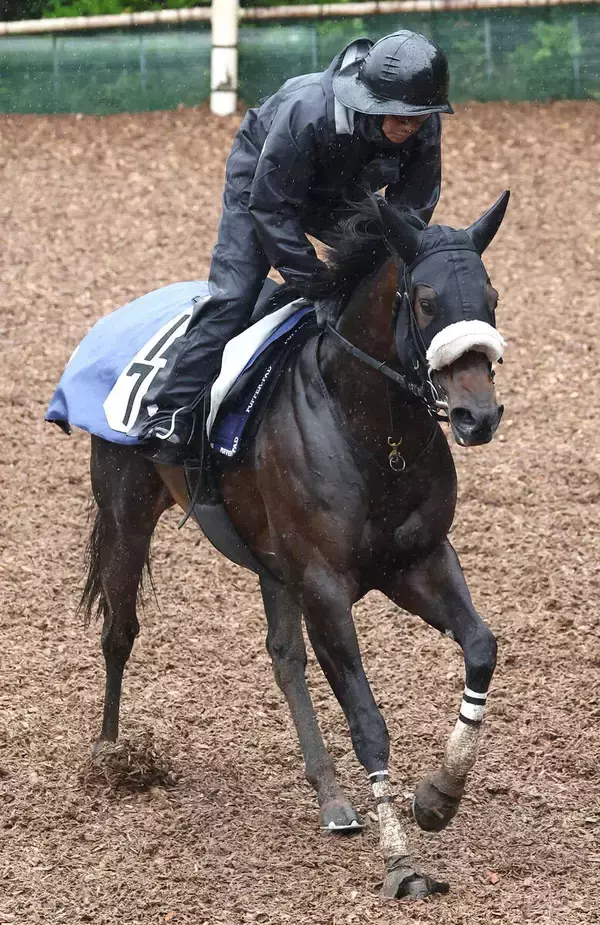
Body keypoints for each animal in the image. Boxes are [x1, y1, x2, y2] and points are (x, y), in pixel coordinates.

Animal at [79, 191, 509, 900]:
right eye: (424, 301)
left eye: (491, 297)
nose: (478, 416)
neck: (369, 430)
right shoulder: (324, 585)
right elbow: (367, 718)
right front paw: (401, 861)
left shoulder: (416, 561)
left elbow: (480, 647)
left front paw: (438, 796)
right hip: (127, 505)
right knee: (120, 629)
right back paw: (111, 757)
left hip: (272, 563)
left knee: (284, 658)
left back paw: (331, 798)